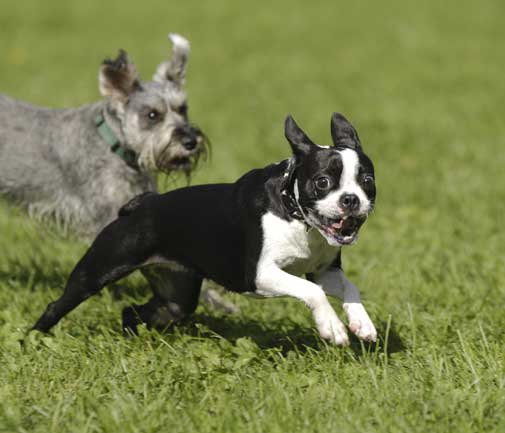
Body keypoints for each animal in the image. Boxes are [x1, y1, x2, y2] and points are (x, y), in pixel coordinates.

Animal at [31, 112, 376, 344]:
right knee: (56, 305)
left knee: (135, 311)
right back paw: (34, 339)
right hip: (97, 271)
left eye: (367, 181)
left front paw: (362, 323)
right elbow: (312, 291)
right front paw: (332, 328)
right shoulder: (261, 274)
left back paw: (134, 337)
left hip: (176, 297)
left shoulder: (324, 270)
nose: (350, 199)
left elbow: (349, 287)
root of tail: (140, 204)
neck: (297, 216)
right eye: (322, 182)